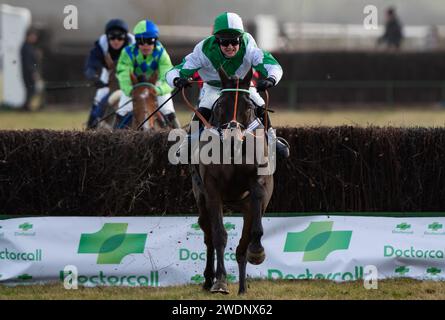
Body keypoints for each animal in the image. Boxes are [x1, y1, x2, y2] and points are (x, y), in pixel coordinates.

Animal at [192, 67, 274, 296]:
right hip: (201, 199)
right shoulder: (212, 189)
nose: (232, 135)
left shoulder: (259, 185)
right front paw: (220, 281)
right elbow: (219, 235)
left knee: (241, 245)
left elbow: (251, 234)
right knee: (208, 236)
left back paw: (243, 287)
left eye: (249, 107)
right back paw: (208, 279)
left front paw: (257, 251)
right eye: (220, 105)